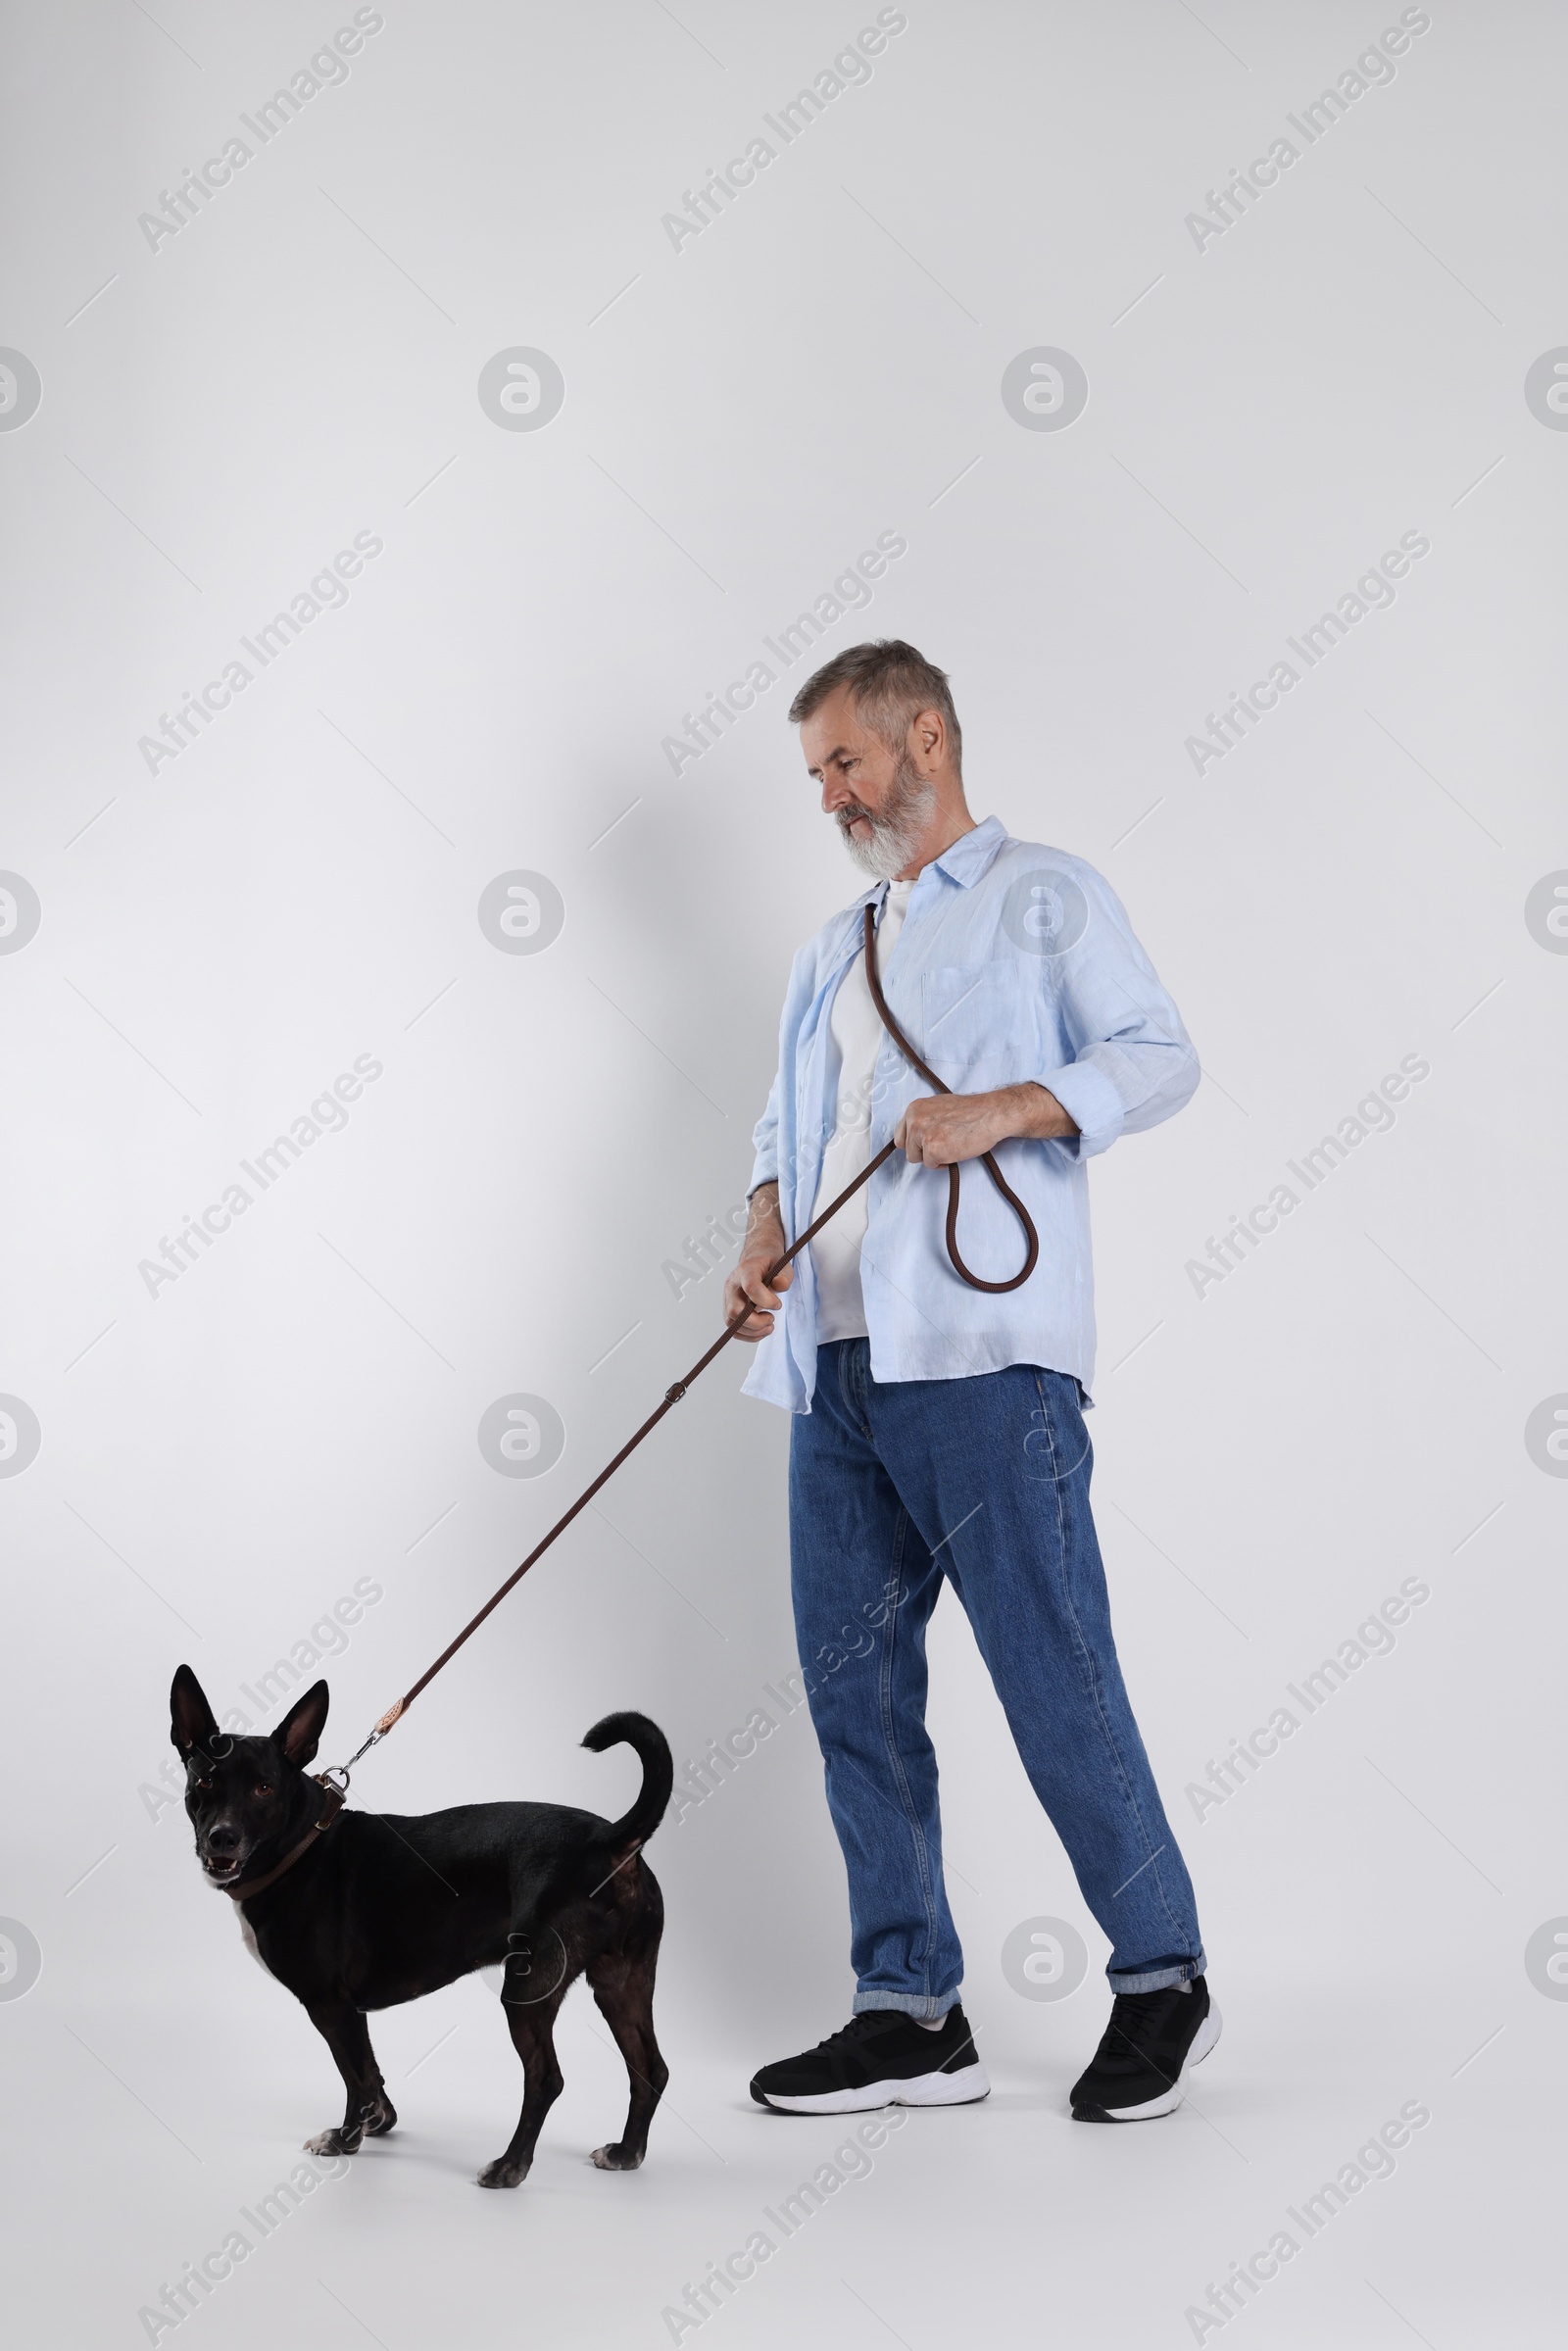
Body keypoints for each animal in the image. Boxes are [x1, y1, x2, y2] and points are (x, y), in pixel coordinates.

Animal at [172, 1674, 676, 2181]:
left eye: (264, 1789)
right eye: (205, 1780)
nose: (222, 1837)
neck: (301, 1842)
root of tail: (609, 1839)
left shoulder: (329, 2004)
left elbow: (354, 2077)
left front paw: (345, 2139)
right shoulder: (350, 2009)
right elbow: (369, 2072)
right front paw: (377, 2120)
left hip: (528, 1988)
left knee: (546, 2079)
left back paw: (510, 2166)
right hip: (622, 1982)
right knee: (650, 2068)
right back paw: (627, 2152)